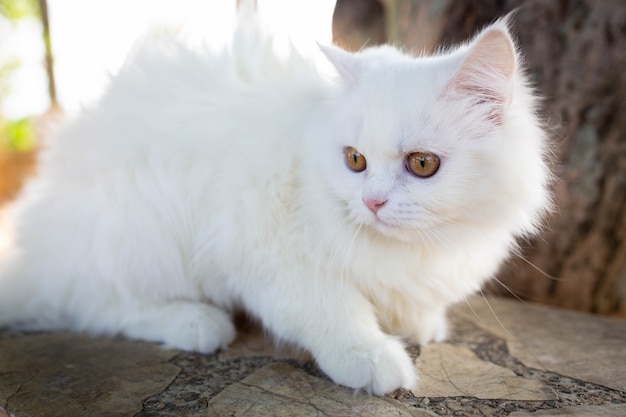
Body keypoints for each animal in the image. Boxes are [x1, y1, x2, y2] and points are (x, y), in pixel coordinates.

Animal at [0, 13, 548, 394]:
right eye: (355, 160)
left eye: (422, 164)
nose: (371, 202)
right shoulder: (271, 255)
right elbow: (335, 311)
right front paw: (372, 357)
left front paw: (420, 323)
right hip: (141, 227)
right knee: (96, 306)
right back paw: (195, 323)